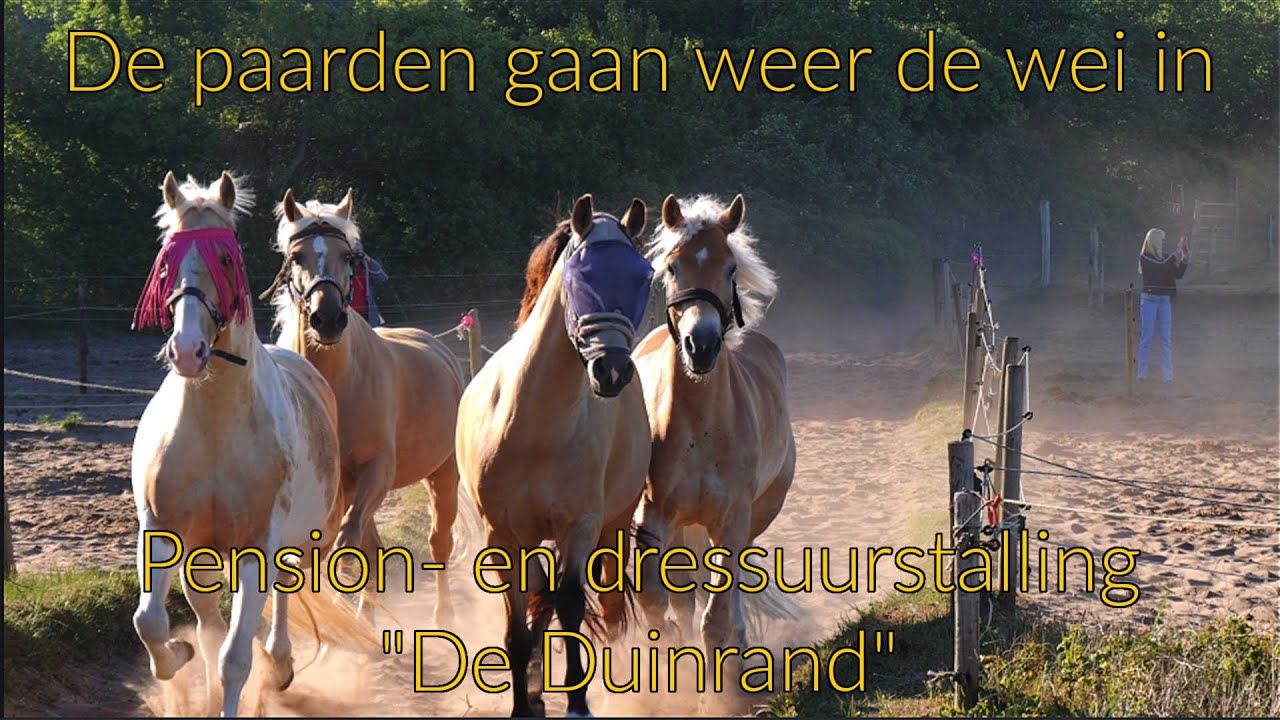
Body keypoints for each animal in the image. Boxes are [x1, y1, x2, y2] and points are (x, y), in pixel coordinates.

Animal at [130, 171, 354, 716]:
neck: (214, 428)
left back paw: (281, 662)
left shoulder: (258, 546)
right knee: (208, 623)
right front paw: (178, 655)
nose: (187, 350)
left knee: (282, 599)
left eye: (226, 260)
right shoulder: (162, 531)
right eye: (166, 260)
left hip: (298, 544)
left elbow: (236, 656)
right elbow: (152, 623)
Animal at [265, 188, 468, 626]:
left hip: (443, 474)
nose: (327, 319)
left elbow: (345, 541)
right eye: (296, 256)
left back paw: (441, 616)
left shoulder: (377, 468)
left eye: (348, 257)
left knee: (438, 542)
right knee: (373, 548)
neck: (336, 386)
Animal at [456, 194, 653, 717]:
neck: (532, 425)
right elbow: (519, 629)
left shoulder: (579, 527)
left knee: (603, 604)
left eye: (643, 276)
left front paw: (578, 703)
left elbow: (568, 607)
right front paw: (523, 704)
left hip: (613, 526)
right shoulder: (502, 537)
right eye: (580, 276)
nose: (612, 371)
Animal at [631, 193, 797, 703]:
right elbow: (658, 601)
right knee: (685, 593)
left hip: (753, 516)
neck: (699, 425)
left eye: (729, 267)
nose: (700, 345)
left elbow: (717, 615)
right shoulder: (654, 520)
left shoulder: (731, 520)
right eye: (672, 266)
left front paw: (721, 693)